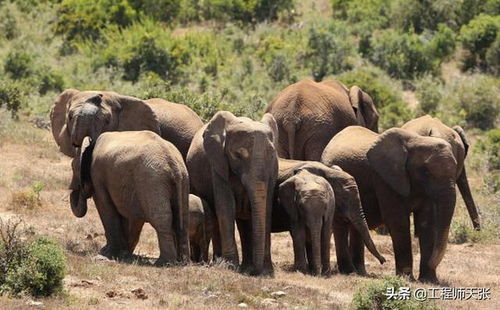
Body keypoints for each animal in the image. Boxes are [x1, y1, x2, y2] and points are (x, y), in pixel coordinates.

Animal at [72, 130, 191, 266]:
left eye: (73, 168)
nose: (74, 191)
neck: (91, 144)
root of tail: (173, 163)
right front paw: (123, 254)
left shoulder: (97, 175)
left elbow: (106, 209)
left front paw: (105, 253)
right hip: (183, 180)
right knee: (183, 219)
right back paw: (184, 262)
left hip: (152, 181)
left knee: (161, 219)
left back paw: (164, 263)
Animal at [187, 112, 282, 276]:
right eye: (238, 155)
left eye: (271, 154)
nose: (256, 272)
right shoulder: (217, 165)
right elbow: (226, 207)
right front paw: (230, 267)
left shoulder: (272, 171)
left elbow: (267, 209)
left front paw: (266, 271)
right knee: (216, 218)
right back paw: (220, 262)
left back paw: (246, 266)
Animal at [322, 126, 458, 284]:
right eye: (426, 172)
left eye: (456, 171)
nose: (383, 261)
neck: (416, 141)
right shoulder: (384, 178)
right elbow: (398, 221)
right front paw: (406, 277)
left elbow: (427, 223)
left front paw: (429, 280)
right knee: (341, 224)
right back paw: (349, 271)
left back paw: (360, 272)